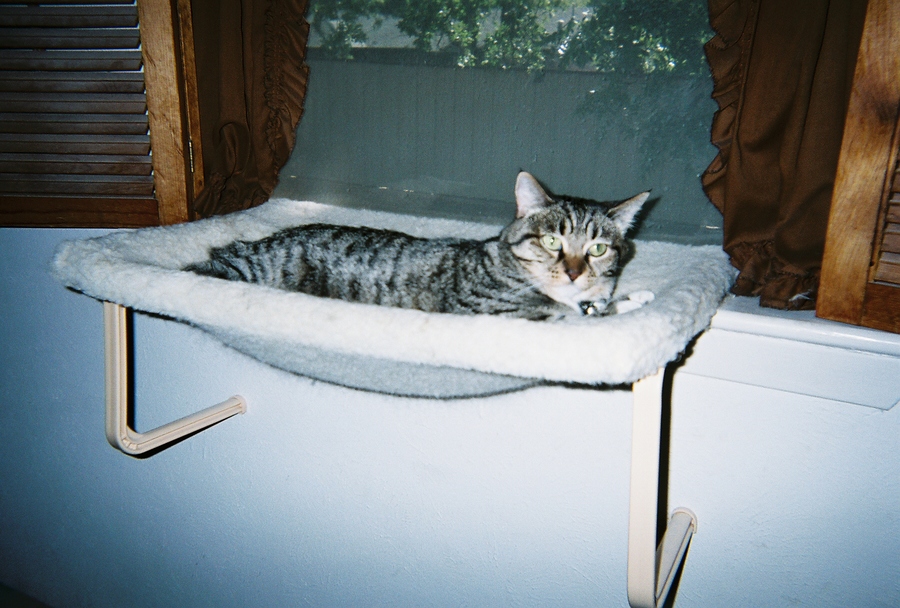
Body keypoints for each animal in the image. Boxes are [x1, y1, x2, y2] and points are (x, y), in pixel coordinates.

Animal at [185, 172, 650, 321]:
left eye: (597, 249)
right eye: (553, 240)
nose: (573, 272)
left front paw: (634, 297)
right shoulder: (503, 312)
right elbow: (574, 315)